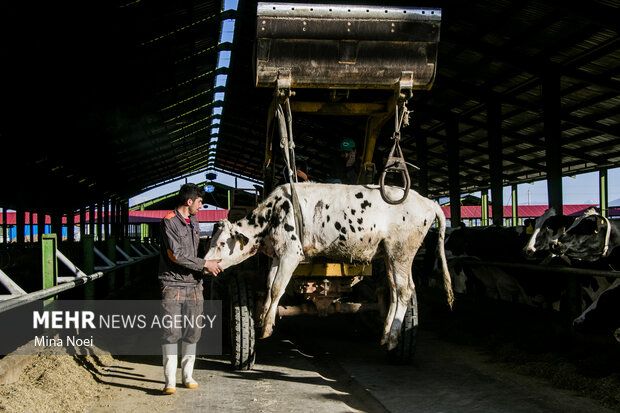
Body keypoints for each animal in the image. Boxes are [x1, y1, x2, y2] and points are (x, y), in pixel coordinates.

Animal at [206, 182, 452, 350]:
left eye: (221, 243)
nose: (206, 265)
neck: (274, 212)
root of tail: (428, 202)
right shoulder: (278, 254)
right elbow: (269, 285)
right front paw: (265, 315)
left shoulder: (292, 253)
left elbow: (277, 288)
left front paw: (266, 326)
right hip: (389, 256)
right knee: (394, 290)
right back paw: (385, 333)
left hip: (402, 251)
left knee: (404, 290)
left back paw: (392, 338)